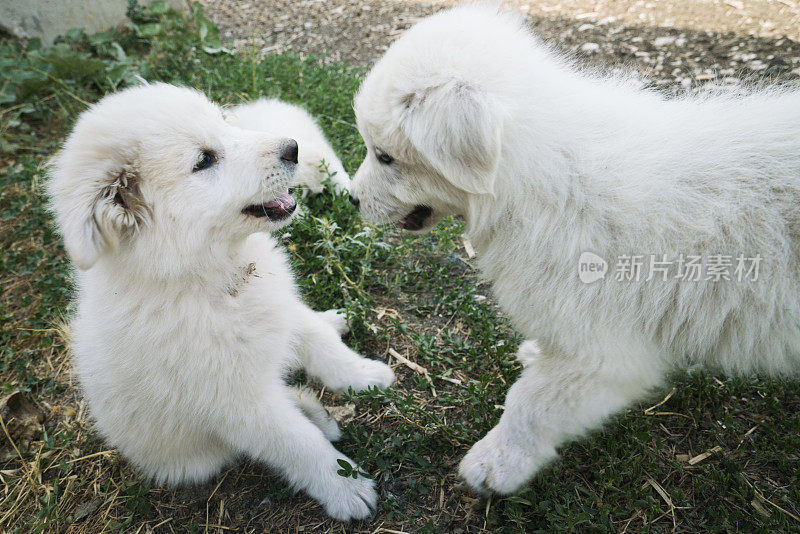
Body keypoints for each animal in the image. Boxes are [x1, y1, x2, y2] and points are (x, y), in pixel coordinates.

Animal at [48, 84, 392, 524]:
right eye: (204, 160)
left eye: (225, 123)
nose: (293, 147)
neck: (216, 277)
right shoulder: (236, 402)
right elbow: (298, 443)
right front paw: (344, 485)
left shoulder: (279, 307)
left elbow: (322, 345)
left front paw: (366, 376)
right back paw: (316, 415)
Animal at [348, 5, 800, 498]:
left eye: (385, 157)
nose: (350, 200)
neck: (547, 176)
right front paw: (534, 356)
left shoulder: (601, 354)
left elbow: (530, 404)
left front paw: (494, 464)